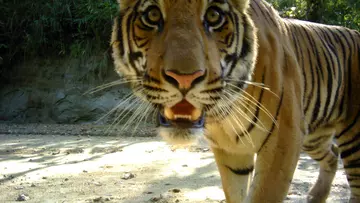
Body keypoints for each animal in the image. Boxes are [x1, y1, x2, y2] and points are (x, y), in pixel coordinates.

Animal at [110, 0, 360, 202]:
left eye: (214, 16)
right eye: (152, 15)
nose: (184, 78)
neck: (225, 113)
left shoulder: (284, 139)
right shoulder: (231, 151)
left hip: (351, 136)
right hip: (314, 134)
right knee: (332, 154)